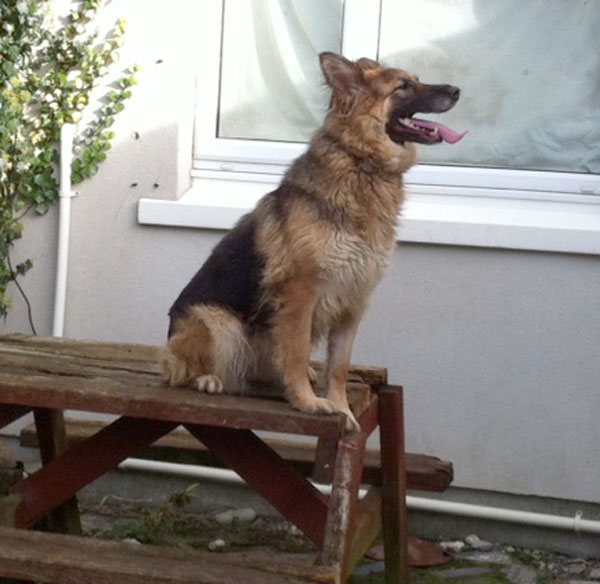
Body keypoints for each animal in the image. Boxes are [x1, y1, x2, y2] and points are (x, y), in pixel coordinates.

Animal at [161, 52, 464, 432]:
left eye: (417, 79)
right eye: (403, 87)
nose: (457, 90)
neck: (362, 164)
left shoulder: (354, 301)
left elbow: (339, 367)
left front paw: (342, 409)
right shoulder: (301, 295)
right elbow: (297, 350)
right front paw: (307, 402)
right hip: (218, 321)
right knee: (180, 369)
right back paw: (207, 379)